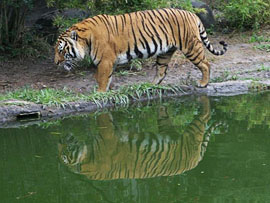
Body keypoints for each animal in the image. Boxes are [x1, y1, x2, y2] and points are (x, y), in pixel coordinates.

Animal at [54, 7, 228, 92]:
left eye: (61, 50)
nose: (56, 63)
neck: (86, 38)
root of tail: (193, 14)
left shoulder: (105, 60)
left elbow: (102, 78)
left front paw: (100, 93)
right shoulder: (110, 62)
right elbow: (105, 77)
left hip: (190, 46)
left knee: (205, 64)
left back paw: (203, 83)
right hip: (165, 53)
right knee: (161, 71)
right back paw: (151, 86)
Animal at [58, 96, 212, 180]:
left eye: (65, 155)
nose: (60, 140)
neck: (87, 156)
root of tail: (195, 162)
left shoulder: (108, 136)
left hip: (193, 132)